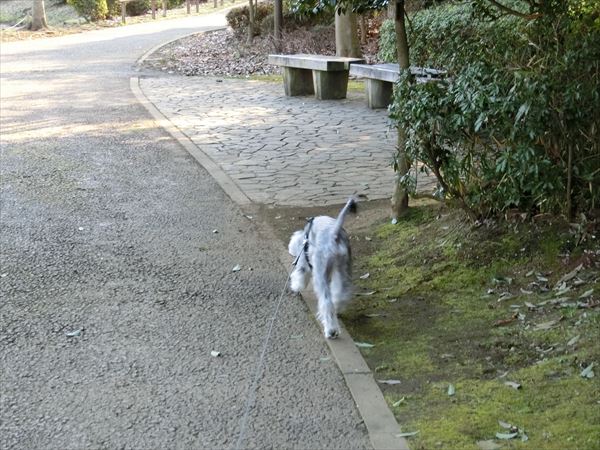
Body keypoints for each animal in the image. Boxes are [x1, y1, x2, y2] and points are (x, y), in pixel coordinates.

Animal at [288, 198, 356, 339]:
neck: (304, 238)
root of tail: (334, 235)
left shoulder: (304, 262)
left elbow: (300, 276)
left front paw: (296, 286)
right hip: (343, 268)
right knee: (341, 292)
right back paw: (337, 308)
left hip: (320, 273)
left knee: (326, 301)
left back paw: (331, 330)